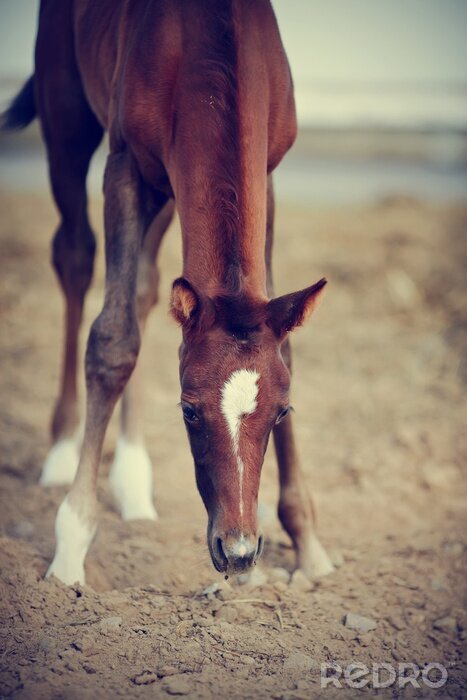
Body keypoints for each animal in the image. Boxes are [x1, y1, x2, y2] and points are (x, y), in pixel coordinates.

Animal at [2, 0, 332, 584]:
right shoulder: (125, 165)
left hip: (168, 189)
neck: (210, 46)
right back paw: (62, 448)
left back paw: (134, 485)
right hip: (67, 122)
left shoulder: (265, 174)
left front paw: (308, 542)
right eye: (189, 411)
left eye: (282, 413)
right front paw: (70, 548)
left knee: (143, 288)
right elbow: (112, 341)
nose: (238, 551)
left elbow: (284, 346)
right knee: (75, 257)